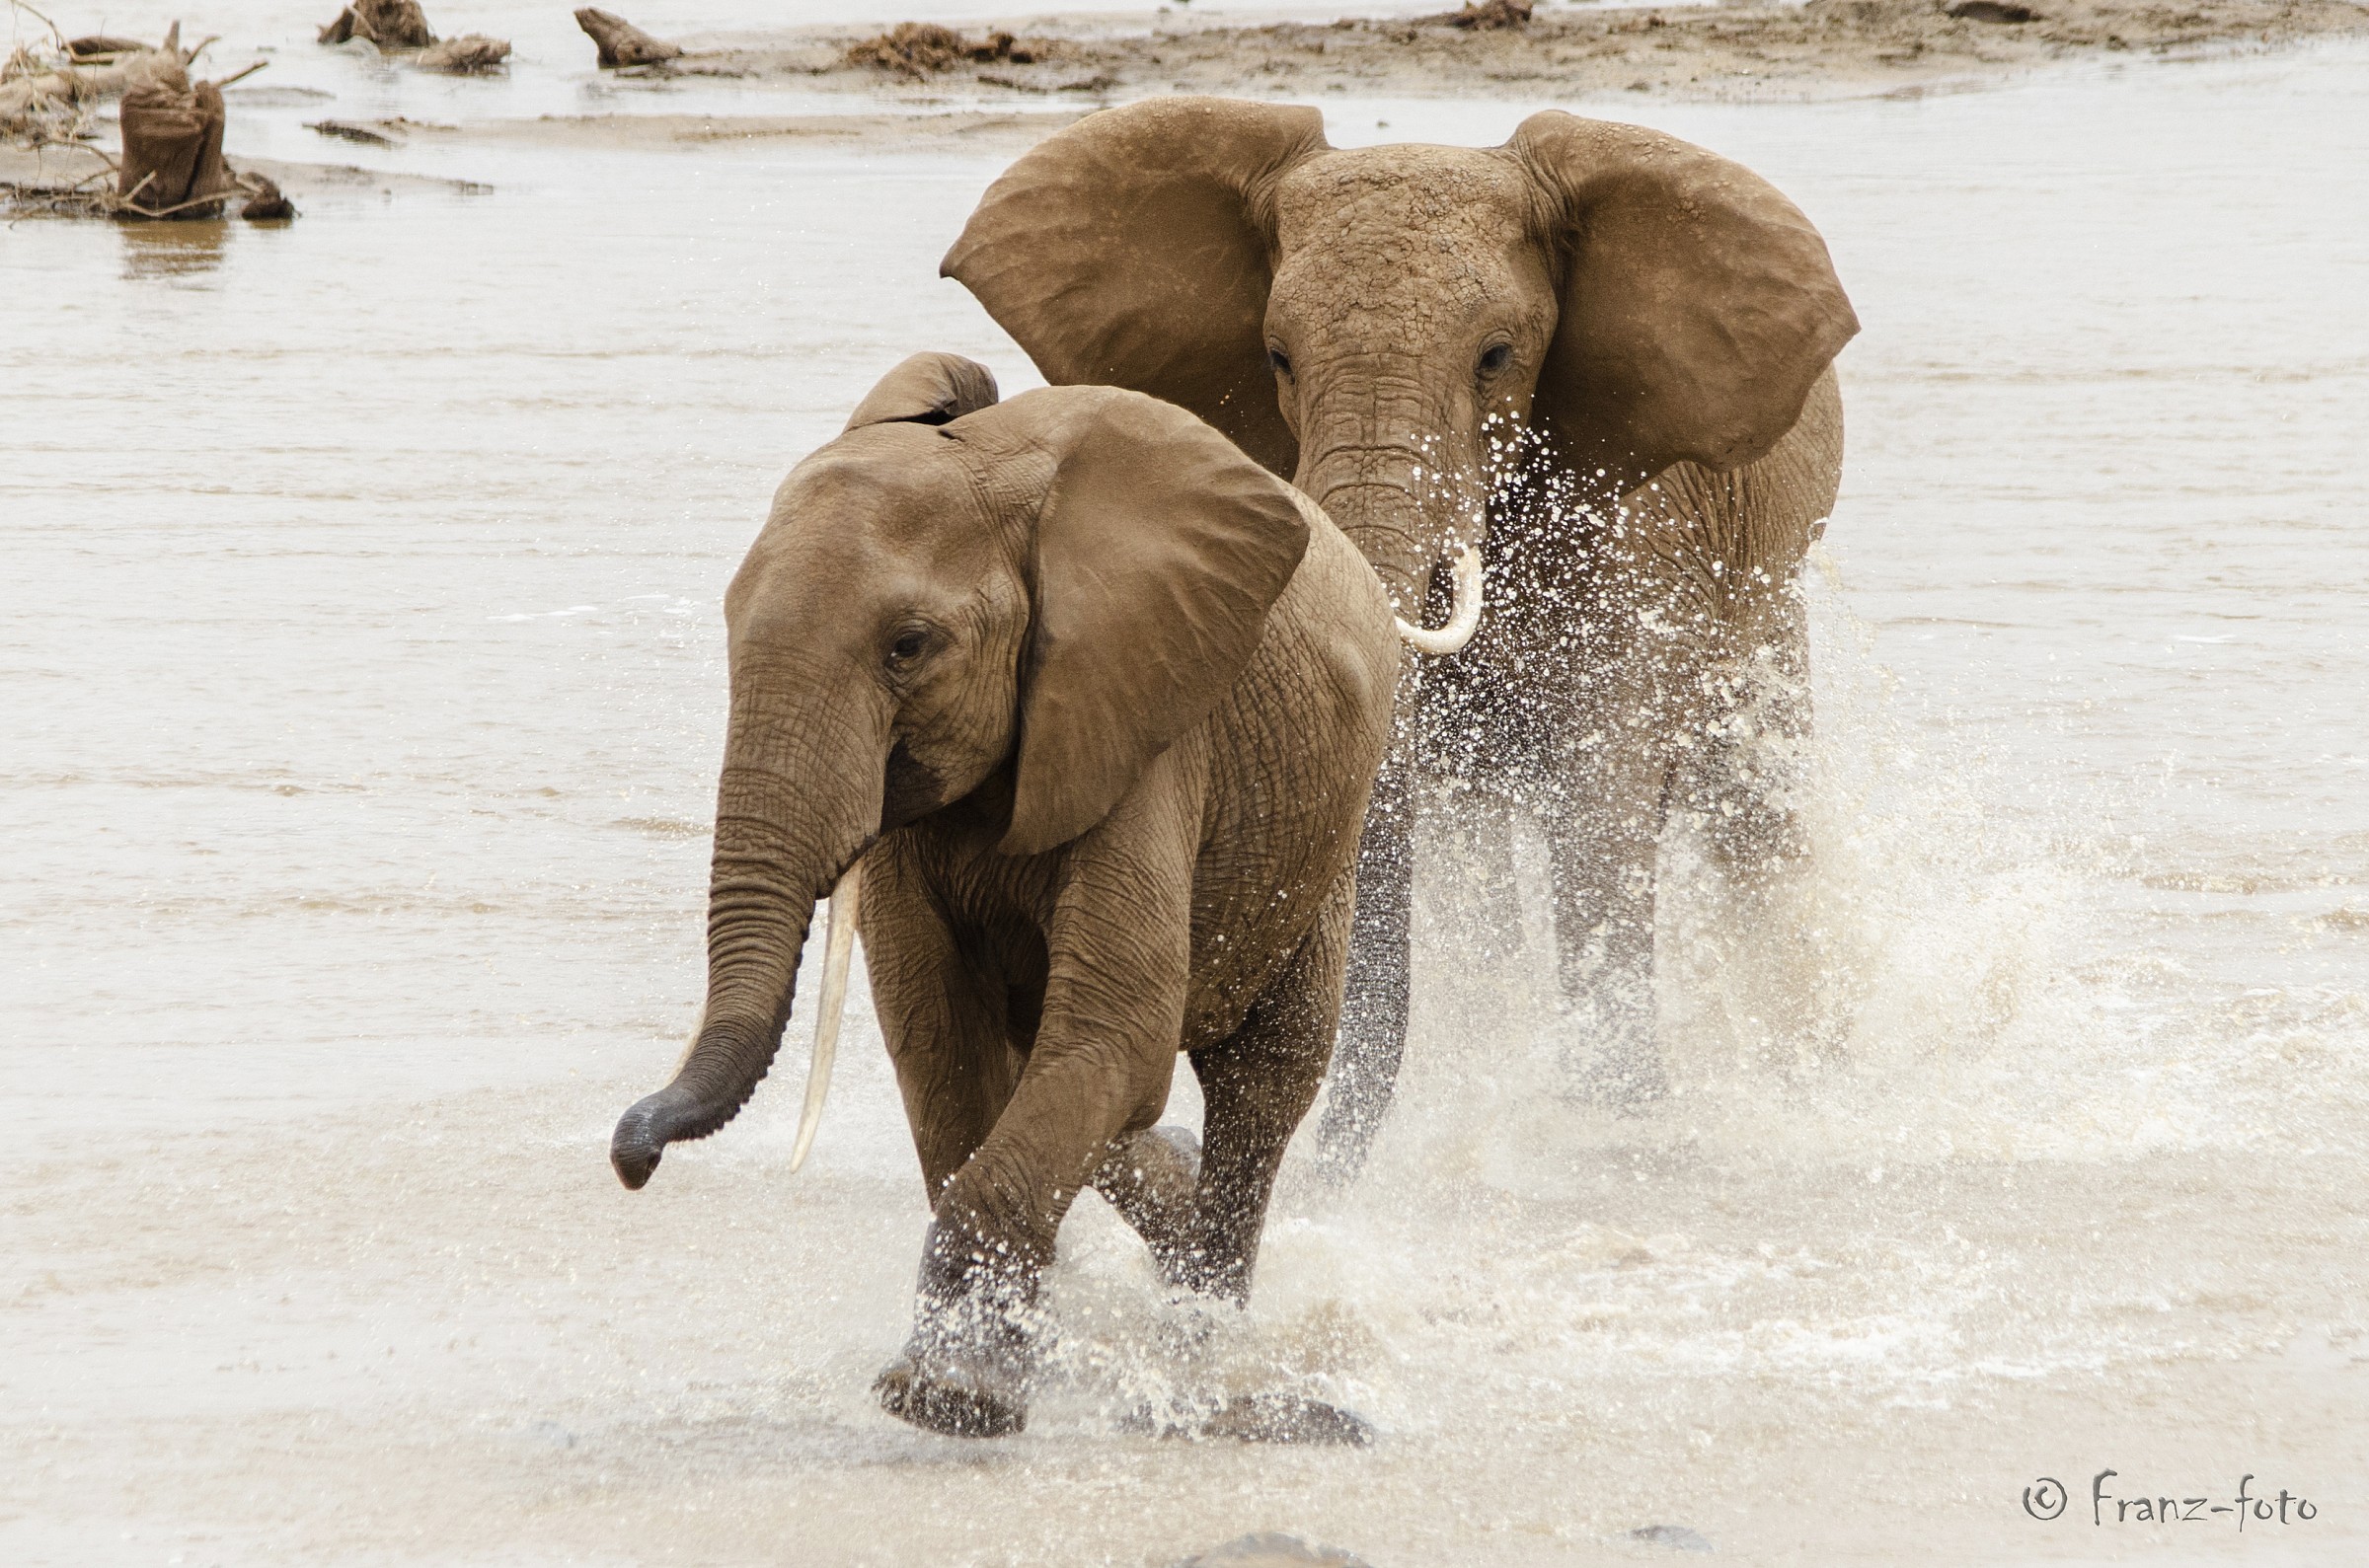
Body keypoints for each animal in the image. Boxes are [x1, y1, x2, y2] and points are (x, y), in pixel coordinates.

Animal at [610, 353, 1397, 1439]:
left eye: (907, 646)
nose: (631, 1154)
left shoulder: (1142, 721)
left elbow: (1117, 1026)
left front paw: (945, 1397)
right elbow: (943, 1034)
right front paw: (975, 1376)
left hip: (1332, 821)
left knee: (1264, 1074)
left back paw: (1202, 1347)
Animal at [944, 98, 1859, 1167]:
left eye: (1496, 358)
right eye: (1277, 358)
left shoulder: (1645, 528)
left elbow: (1603, 795)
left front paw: (1616, 1118)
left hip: (1765, 597)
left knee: (1754, 817)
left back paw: (1805, 1076)